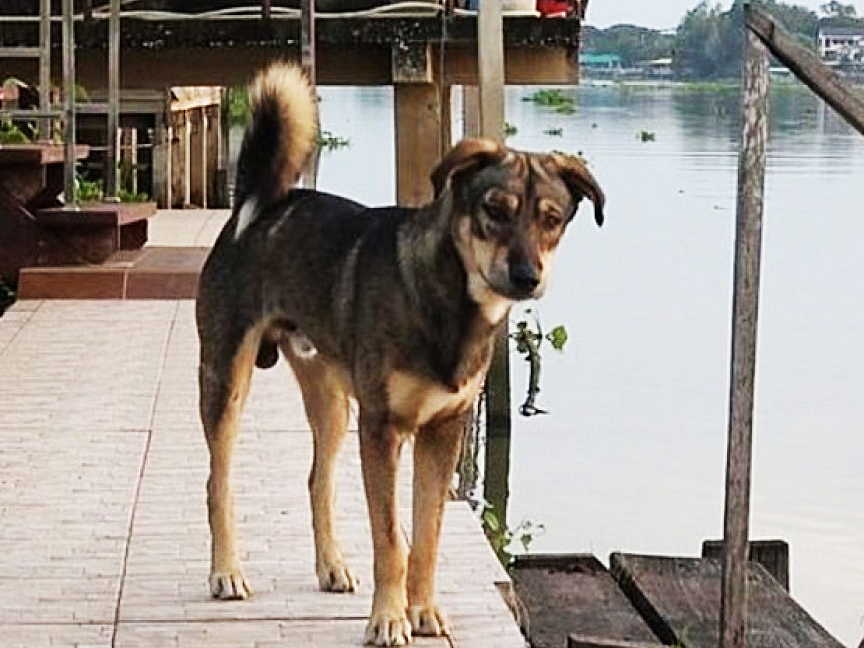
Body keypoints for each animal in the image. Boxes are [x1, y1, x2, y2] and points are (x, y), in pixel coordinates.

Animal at [197, 62, 604, 648]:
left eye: (552, 218)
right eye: (494, 210)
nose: (527, 277)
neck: (449, 301)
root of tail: (261, 203)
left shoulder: (442, 430)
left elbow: (427, 535)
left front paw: (424, 610)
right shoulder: (383, 429)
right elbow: (391, 538)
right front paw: (388, 619)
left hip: (332, 401)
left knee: (318, 480)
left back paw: (332, 565)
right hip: (226, 377)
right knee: (218, 483)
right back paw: (227, 572)